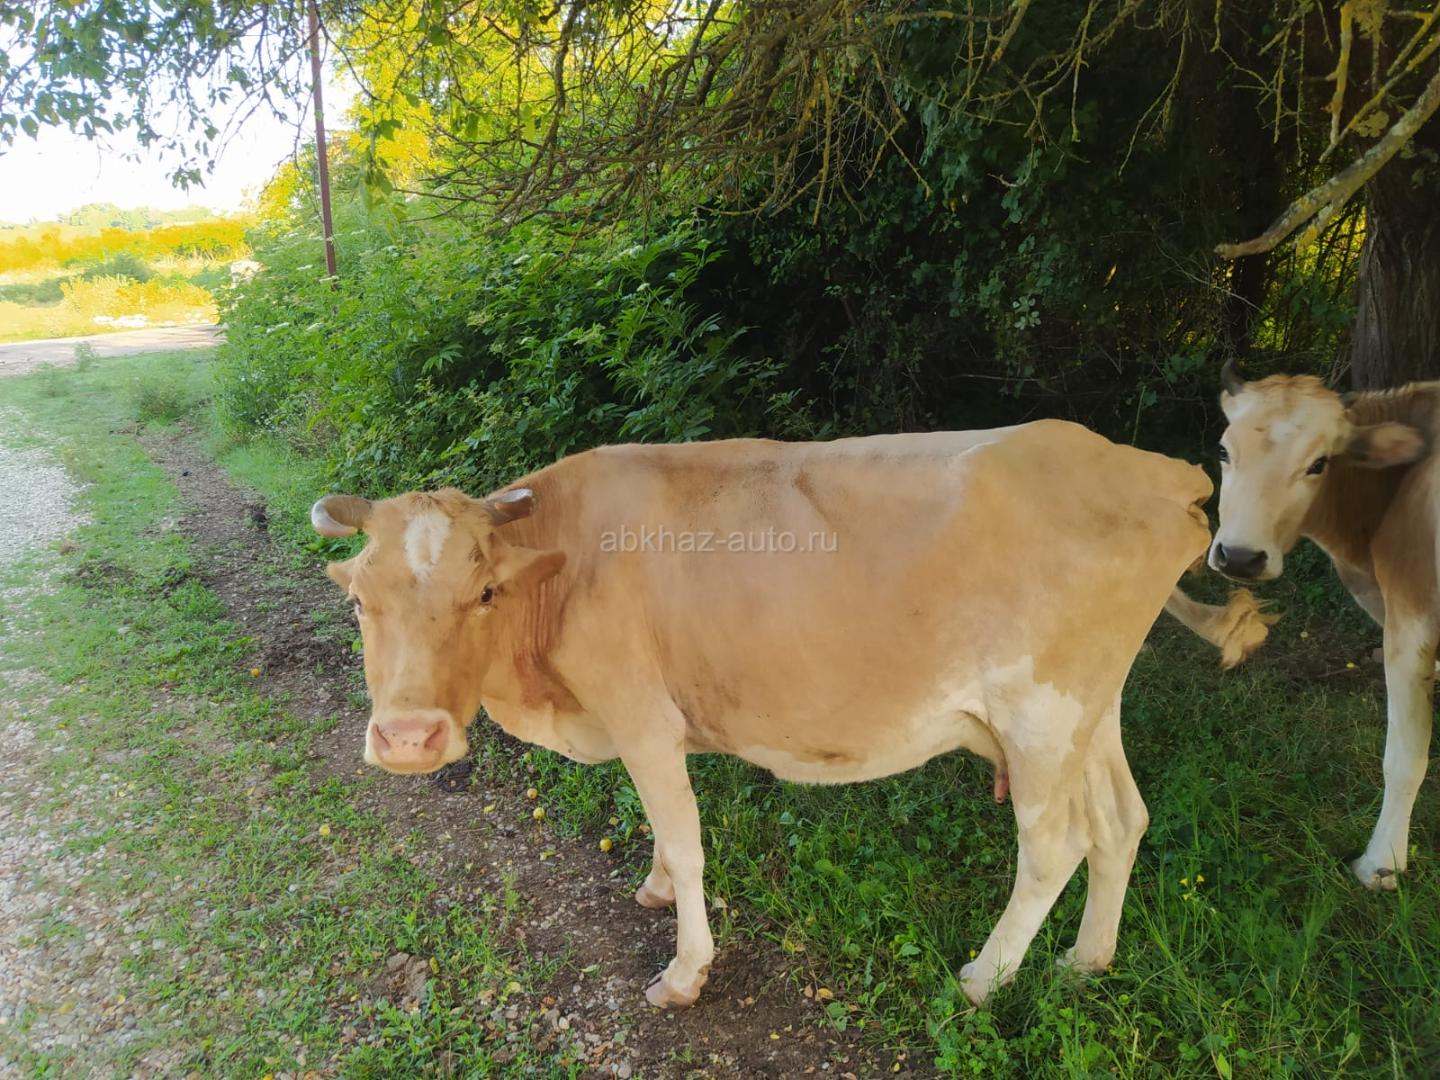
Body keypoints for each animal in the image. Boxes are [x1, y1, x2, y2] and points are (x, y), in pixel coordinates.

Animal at [310, 420, 1271, 1007]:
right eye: (358, 600)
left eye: (482, 592)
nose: (408, 739)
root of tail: (1151, 469)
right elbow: (664, 832)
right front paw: (654, 888)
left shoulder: (641, 715)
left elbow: (688, 841)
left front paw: (685, 971)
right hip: (1090, 712)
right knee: (1120, 820)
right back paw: (1085, 961)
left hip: (1040, 713)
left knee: (1054, 845)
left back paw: (983, 977)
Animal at [1209, 362, 1434, 891]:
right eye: (1224, 451)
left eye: (1319, 464)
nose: (1241, 557)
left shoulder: (1410, 625)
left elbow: (1405, 756)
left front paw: (1382, 862)